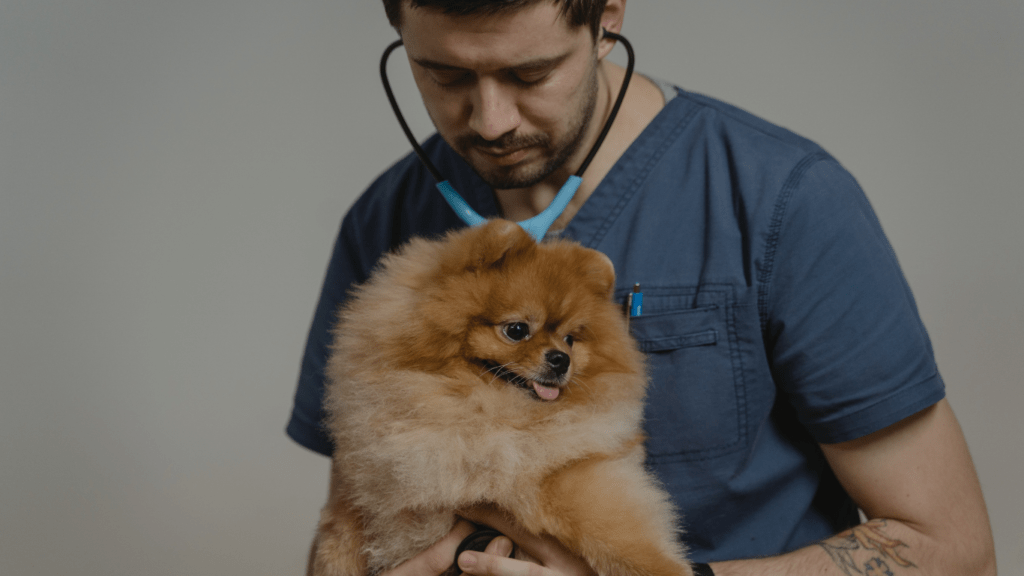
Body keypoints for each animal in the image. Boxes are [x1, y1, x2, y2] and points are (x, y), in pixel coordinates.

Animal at [311, 218, 692, 573]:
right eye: (517, 330)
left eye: (570, 339)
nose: (561, 359)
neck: (483, 415)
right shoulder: (368, 485)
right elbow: (339, 533)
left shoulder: (566, 474)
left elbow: (613, 531)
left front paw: (668, 569)